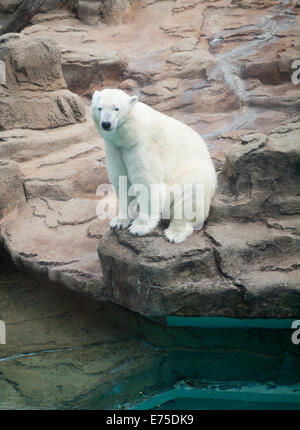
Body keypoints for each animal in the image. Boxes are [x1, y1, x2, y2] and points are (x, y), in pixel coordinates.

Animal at [90, 89, 217, 244]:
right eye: (99, 108)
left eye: (116, 108)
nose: (106, 124)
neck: (131, 133)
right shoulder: (114, 148)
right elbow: (122, 180)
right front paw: (118, 222)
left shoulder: (143, 146)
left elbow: (147, 183)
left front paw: (138, 227)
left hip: (195, 171)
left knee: (190, 193)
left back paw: (174, 233)